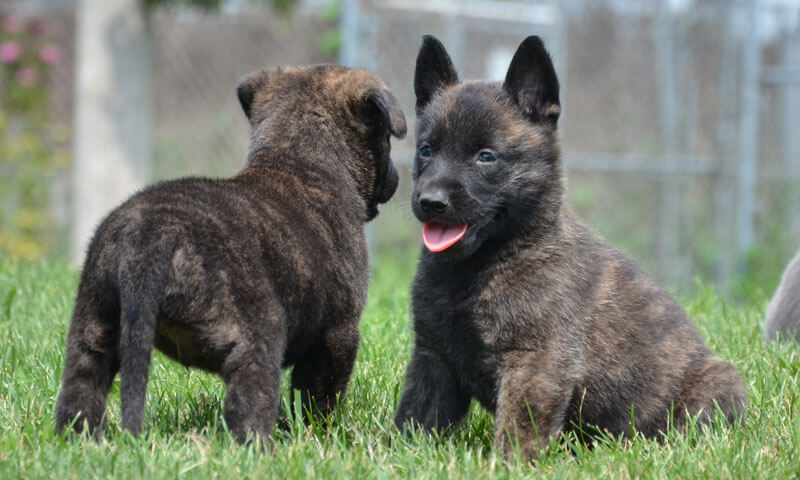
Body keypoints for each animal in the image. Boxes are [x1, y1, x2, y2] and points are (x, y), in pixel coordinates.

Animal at [56, 64, 406, 446]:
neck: (298, 158)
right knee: (249, 401)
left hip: (92, 327)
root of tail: (149, 238)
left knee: (80, 391)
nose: (397, 179)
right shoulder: (338, 334)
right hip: (257, 334)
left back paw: (78, 441)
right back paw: (258, 448)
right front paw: (320, 436)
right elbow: (317, 397)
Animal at [396, 35, 748, 460]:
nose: (430, 201)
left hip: (715, 384)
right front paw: (395, 455)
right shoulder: (433, 359)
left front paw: (508, 465)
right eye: (426, 150)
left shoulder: (536, 361)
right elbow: (414, 417)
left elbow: (519, 429)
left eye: (486, 157)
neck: (485, 263)